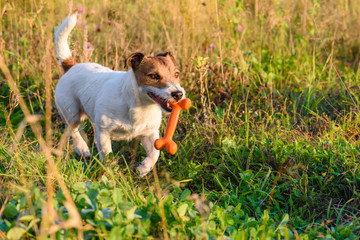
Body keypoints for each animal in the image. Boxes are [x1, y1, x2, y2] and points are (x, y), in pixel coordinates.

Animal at [53, 14, 186, 176]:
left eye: (176, 74)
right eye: (154, 76)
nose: (178, 94)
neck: (139, 105)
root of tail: (71, 66)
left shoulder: (149, 133)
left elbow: (155, 153)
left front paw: (144, 168)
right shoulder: (104, 132)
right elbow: (106, 153)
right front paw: (110, 171)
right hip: (72, 112)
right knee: (72, 129)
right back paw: (82, 148)